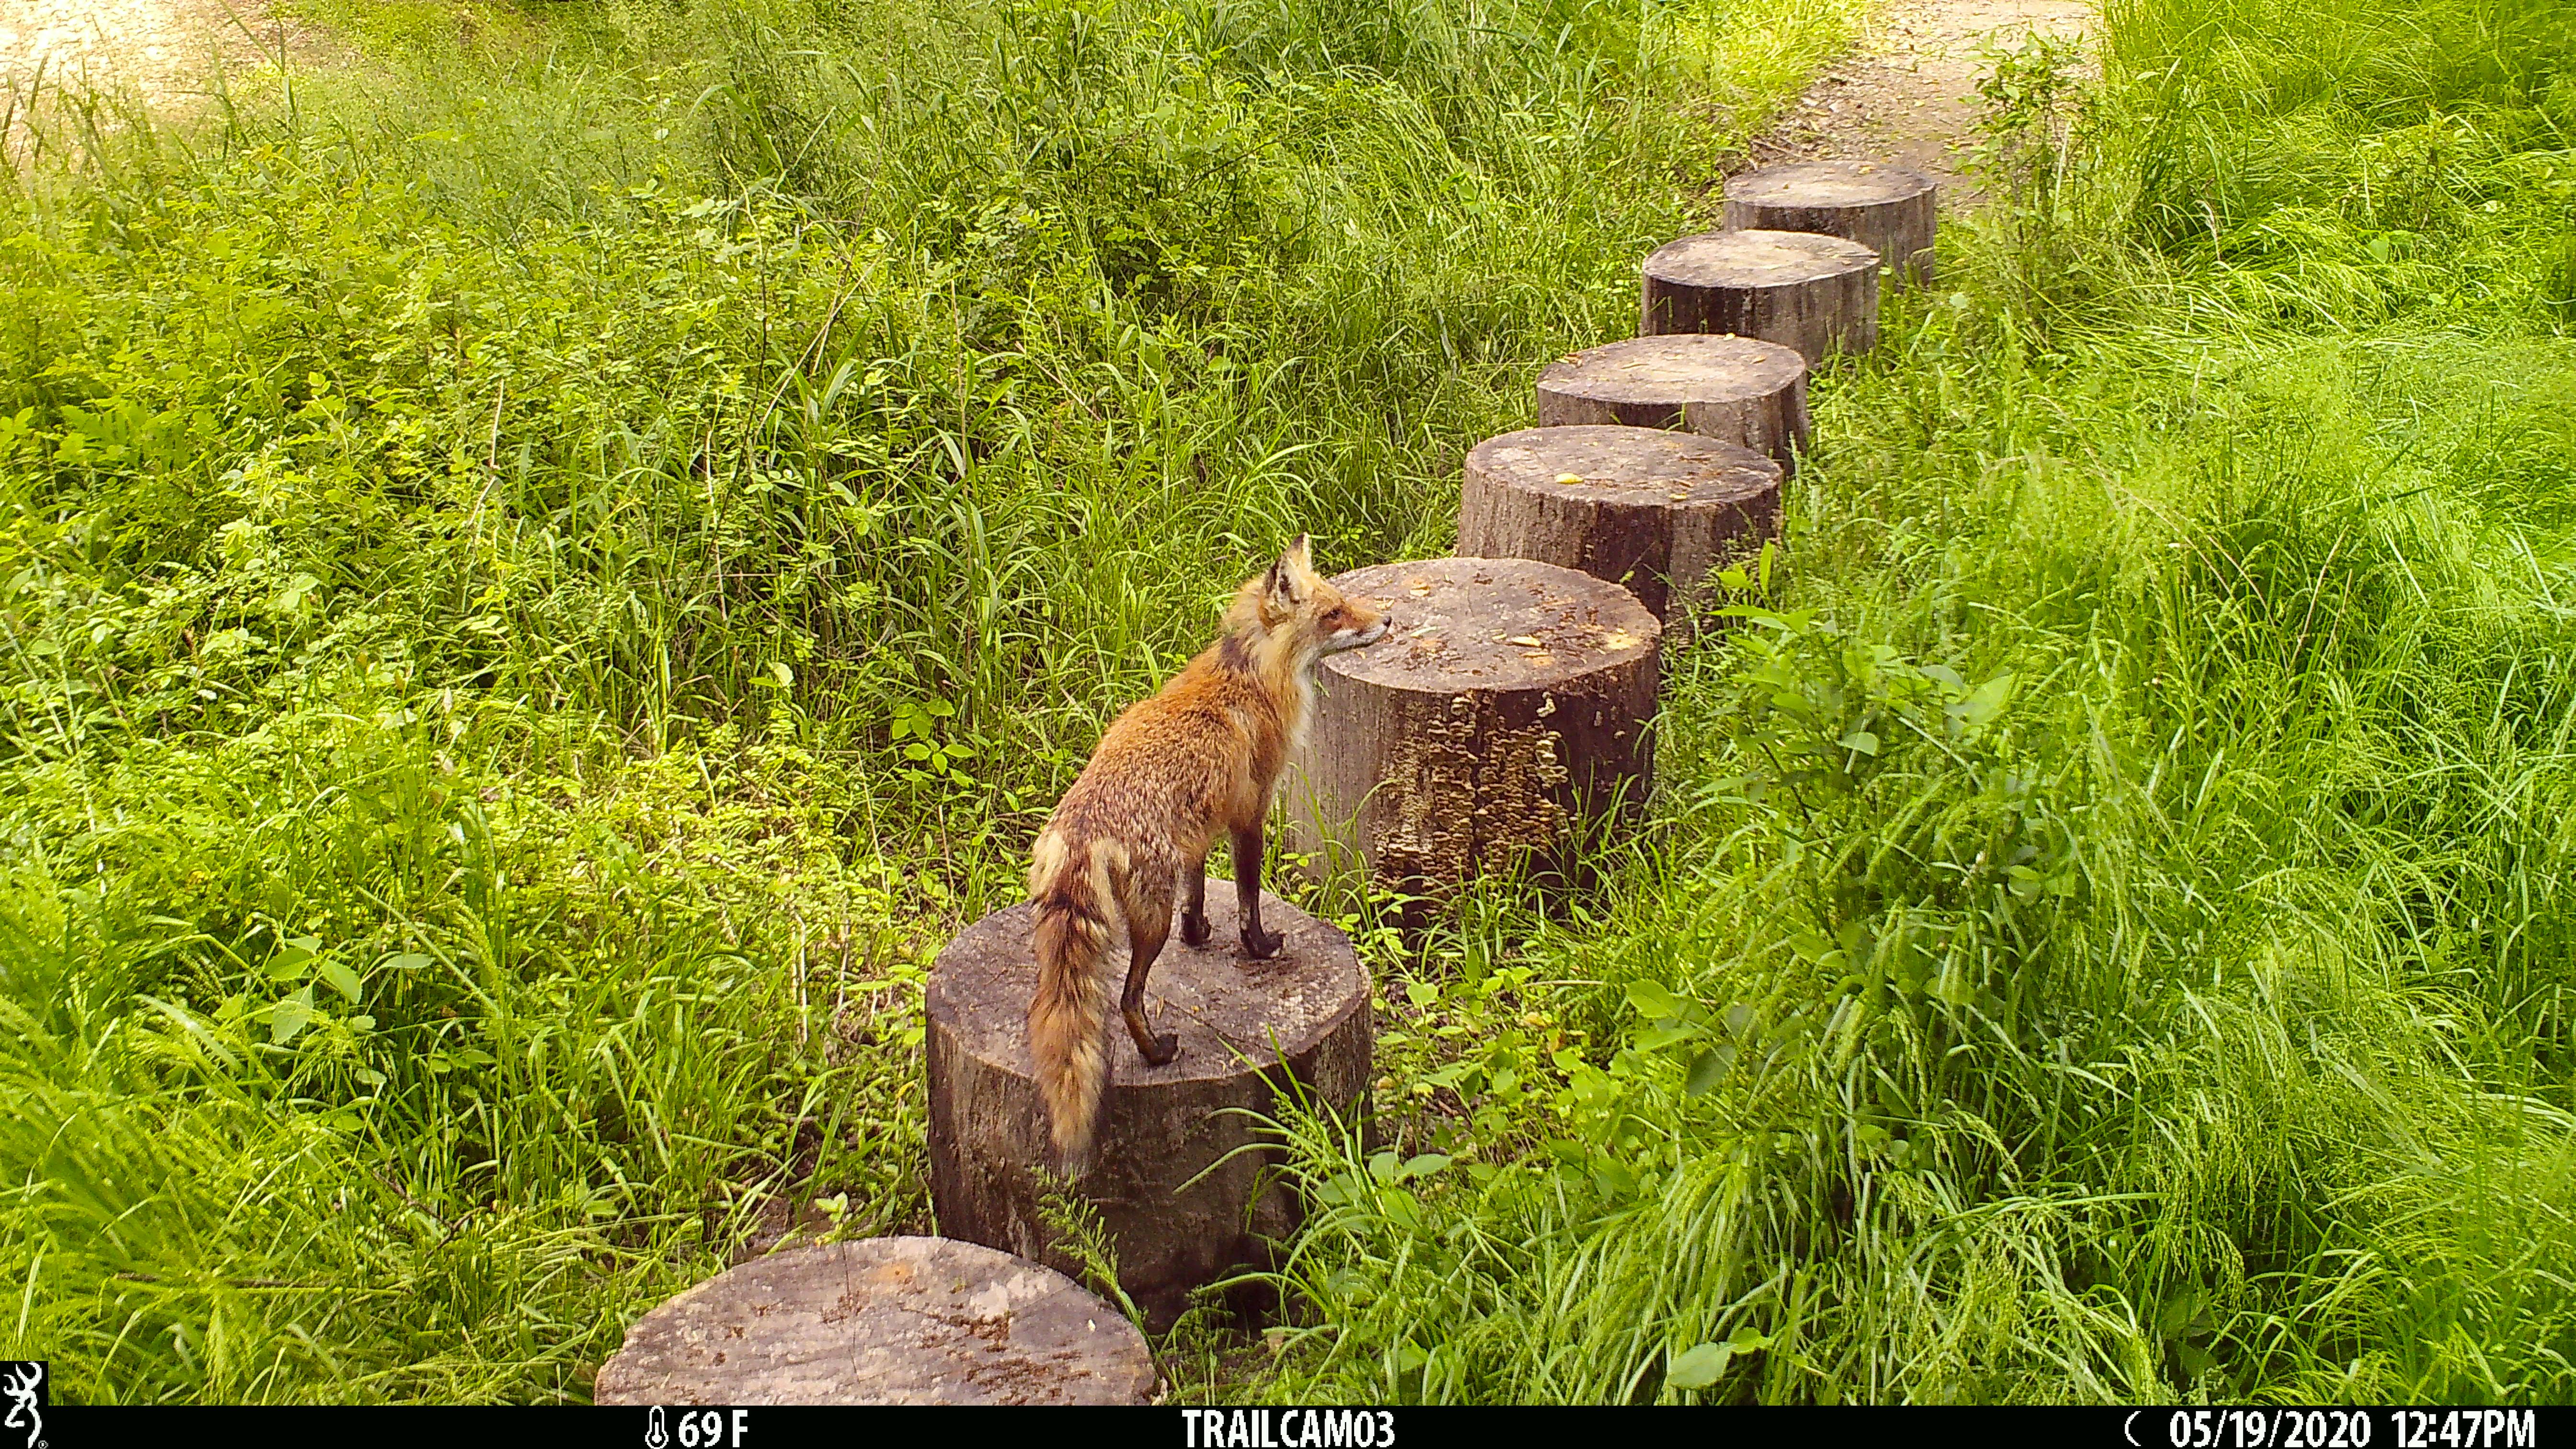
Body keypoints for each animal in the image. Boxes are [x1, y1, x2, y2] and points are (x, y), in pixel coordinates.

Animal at [1026, 535, 1388, 1174]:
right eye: (1334, 614)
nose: (1389, 620)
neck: (1251, 675)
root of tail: (1080, 826)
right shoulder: (1251, 813)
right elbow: (1248, 896)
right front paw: (1260, 946)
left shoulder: (1198, 829)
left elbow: (1198, 889)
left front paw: (1198, 934)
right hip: (1148, 924)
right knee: (1126, 999)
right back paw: (1157, 1053)